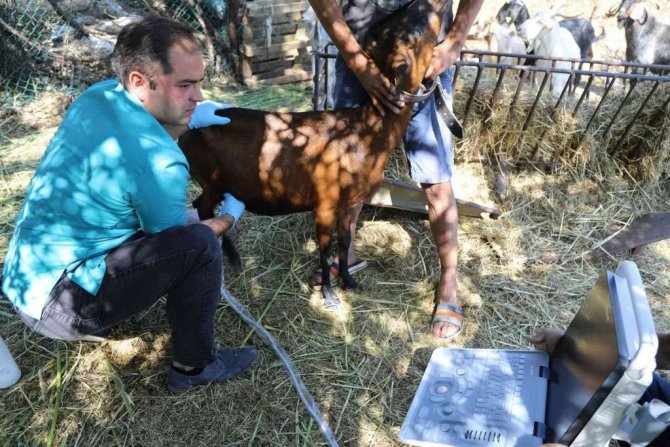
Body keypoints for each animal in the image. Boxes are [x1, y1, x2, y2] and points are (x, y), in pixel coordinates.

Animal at [178, 0, 445, 309]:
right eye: (412, 33)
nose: (433, 4)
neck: (365, 133)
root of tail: (184, 131)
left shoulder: (352, 201)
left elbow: (345, 242)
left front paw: (349, 281)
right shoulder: (325, 201)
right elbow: (325, 249)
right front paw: (329, 294)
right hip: (209, 178)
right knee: (202, 207)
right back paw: (231, 256)